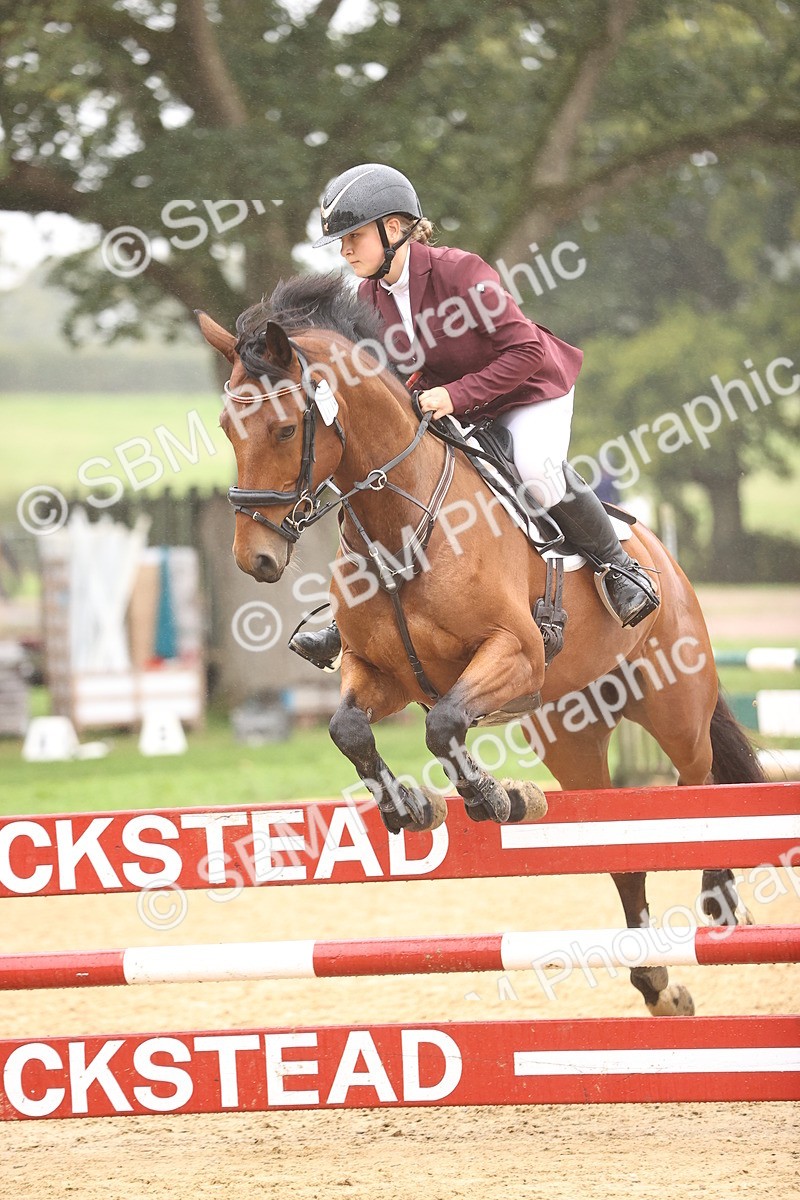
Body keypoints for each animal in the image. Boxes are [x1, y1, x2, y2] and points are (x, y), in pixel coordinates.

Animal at [197, 272, 765, 1017]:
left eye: (287, 427)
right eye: (226, 429)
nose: (255, 559)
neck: (400, 526)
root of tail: (663, 558)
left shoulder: (513, 656)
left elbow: (443, 725)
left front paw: (496, 800)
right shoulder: (381, 675)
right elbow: (351, 729)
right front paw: (412, 807)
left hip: (676, 709)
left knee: (696, 793)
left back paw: (717, 897)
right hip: (571, 735)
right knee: (618, 842)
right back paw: (654, 980)